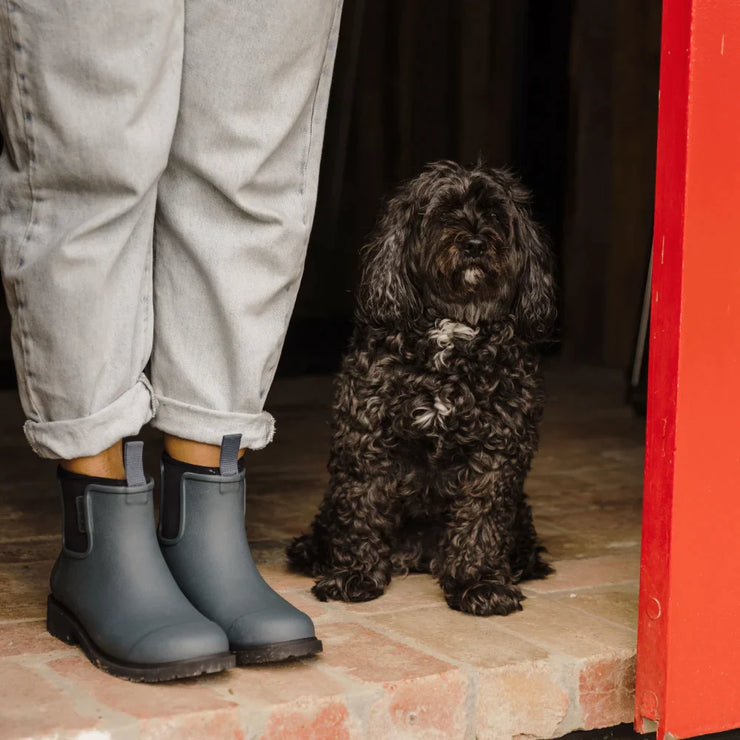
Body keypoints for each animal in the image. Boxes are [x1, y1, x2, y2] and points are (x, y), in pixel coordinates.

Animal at [290, 162, 556, 620]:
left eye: (495, 214)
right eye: (444, 212)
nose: (474, 243)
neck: (452, 328)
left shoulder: (497, 447)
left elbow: (482, 516)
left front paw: (479, 583)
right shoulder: (367, 436)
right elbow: (362, 508)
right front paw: (354, 574)